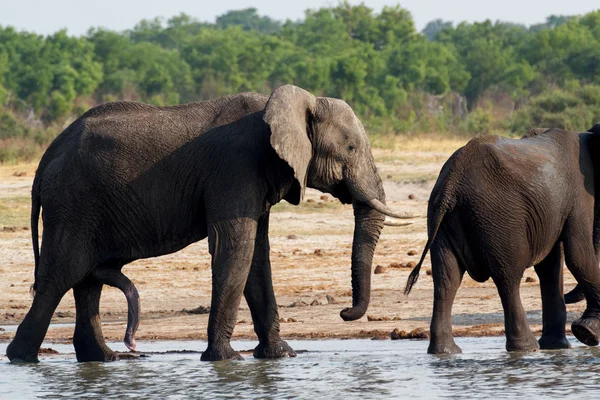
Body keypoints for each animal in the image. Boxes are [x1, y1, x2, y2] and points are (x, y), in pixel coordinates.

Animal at [7, 84, 410, 362]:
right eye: (351, 149)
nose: (345, 313)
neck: (292, 102)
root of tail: (46, 156)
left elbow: (256, 255)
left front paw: (281, 356)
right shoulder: (235, 169)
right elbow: (236, 248)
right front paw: (225, 360)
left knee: (86, 280)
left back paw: (104, 359)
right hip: (73, 202)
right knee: (61, 275)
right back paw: (21, 358)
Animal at [406, 125, 600, 354]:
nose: (581, 329)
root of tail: (452, 180)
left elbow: (549, 265)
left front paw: (557, 347)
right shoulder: (579, 195)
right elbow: (578, 255)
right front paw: (586, 334)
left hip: (441, 217)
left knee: (447, 280)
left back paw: (445, 352)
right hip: (499, 216)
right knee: (508, 278)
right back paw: (526, 348)